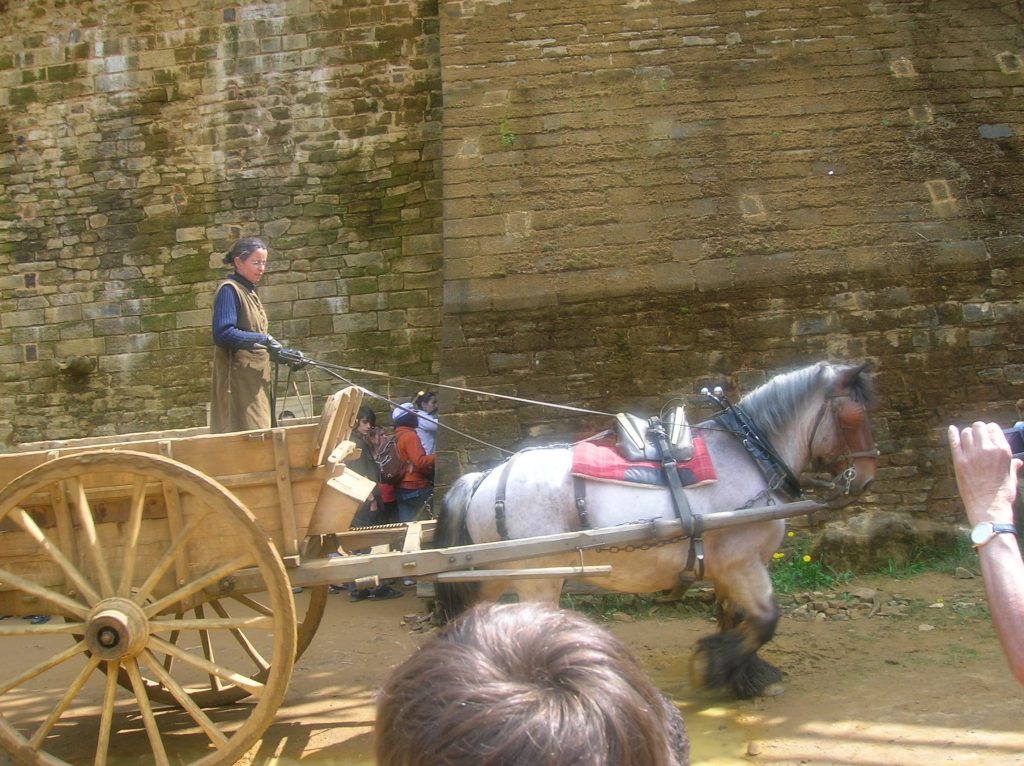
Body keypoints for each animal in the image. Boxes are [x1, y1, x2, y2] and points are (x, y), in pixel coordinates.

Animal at [436, 362, 876, 696]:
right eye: (855, 417)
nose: (867, 480)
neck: (749, 453)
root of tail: (485, 479)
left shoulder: (725, 569)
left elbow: (733, 617)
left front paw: (745, 676)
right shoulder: (743, 563)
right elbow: (766, 619)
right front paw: (711, 667)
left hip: (493, 575)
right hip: (539, 579)